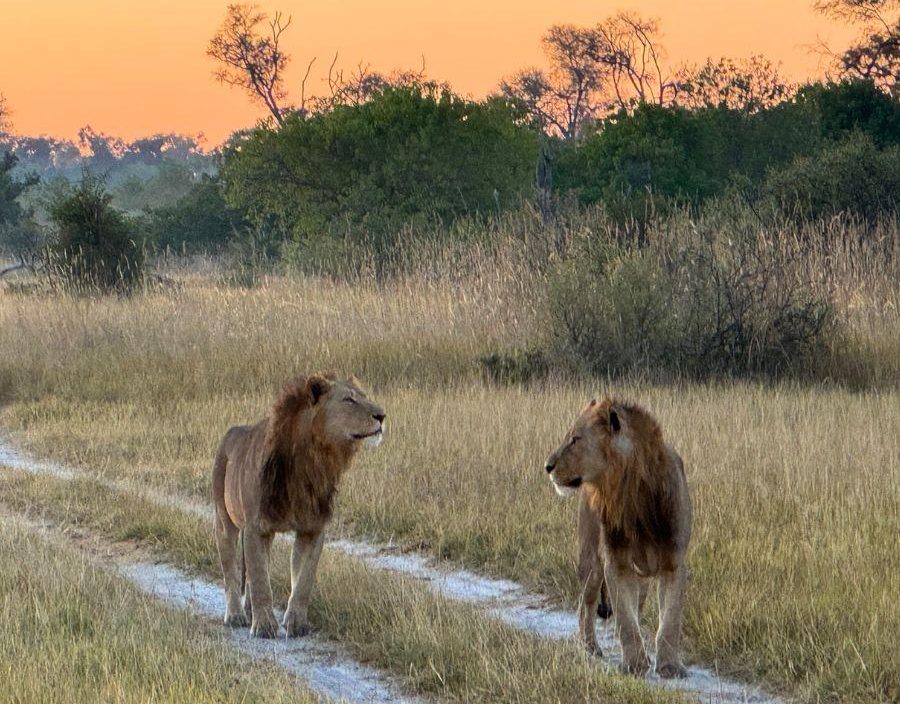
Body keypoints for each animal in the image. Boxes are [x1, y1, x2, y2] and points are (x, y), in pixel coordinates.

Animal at [212, 374, 385, 638]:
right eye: (349, 400)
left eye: (365, 396)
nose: (382, 415)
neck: (314, 459)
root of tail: (230, 432)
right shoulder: (255, 527)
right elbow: (260, 579)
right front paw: (264, 626)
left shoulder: (312, 529)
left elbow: (303, 579)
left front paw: (296, 623)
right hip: (225, 521)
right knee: (231, 569)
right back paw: (236, 615)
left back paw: (250, 612)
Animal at [544, 398, 692, 678]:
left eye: (575, 439)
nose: (547, 466)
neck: (633, 497)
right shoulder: (617, 562)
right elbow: (625, 619)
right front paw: (634, 665)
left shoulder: (674, 562)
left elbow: (670, 619)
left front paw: (669, 666)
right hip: (591, 561)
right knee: (586, 606)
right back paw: (590, 647)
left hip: (642, 578)